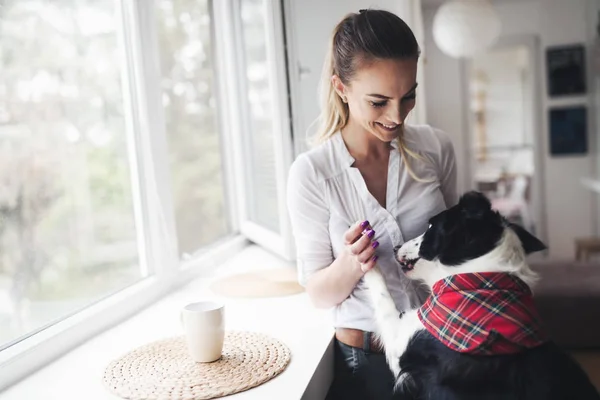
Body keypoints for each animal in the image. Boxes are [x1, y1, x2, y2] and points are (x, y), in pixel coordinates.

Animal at [360, 191, 600, 400]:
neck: (477, 281)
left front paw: (364, 250)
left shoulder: (400, 340)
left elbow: (382, 292)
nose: (396, 247)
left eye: (430, 226)